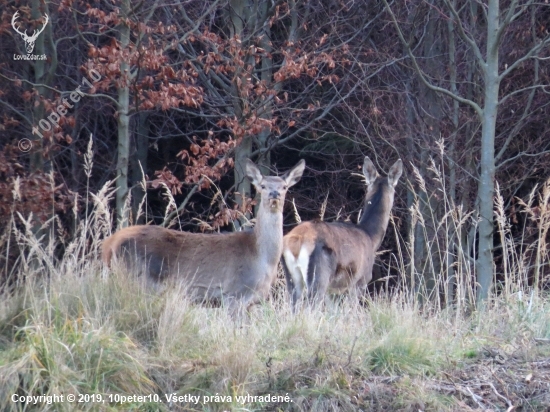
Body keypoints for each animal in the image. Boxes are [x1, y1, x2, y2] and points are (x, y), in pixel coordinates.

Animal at [102, 159, 306, 310]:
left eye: (284, 186)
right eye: (262, 186)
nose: (274, 193)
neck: (263, 259)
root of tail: (110, 244)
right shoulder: (235, 294)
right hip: (135, 277)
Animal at [282, 158, 404, 308]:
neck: (371, 237)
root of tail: (297, 242)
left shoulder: (332, 291)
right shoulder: (360, 282)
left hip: (292, 279)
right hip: (319, 276)